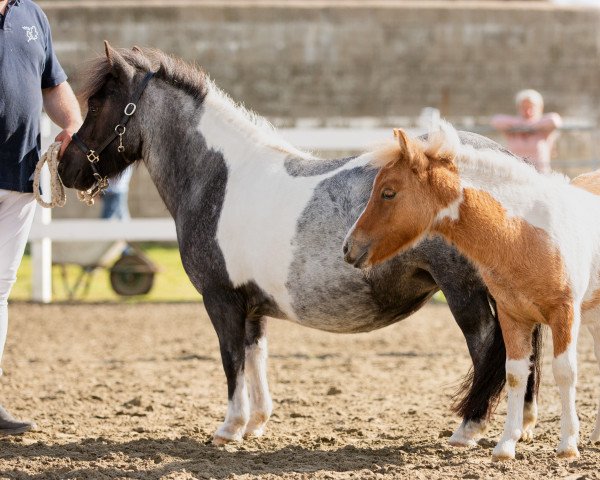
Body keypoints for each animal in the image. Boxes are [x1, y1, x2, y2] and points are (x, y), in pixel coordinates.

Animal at [58, 45, 540, 446]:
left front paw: (229, 428)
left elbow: (231, 361)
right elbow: (256, 357)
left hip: (464, 292)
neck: (220, 178)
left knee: (489, 348)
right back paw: (523, 427)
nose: (66, 167)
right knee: (522, 349)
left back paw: (468, 430)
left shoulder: (221, 299)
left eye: (97, 104)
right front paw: (255, 424)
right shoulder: (251, 305)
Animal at [344, 121, 600, 462]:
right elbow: (515, 373)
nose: (348, 247)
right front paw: (505, 446)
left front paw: (568, 445)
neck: (525, 233)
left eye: (388, 192)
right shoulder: (512, 315)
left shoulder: (564, 313)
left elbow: (565, 371)